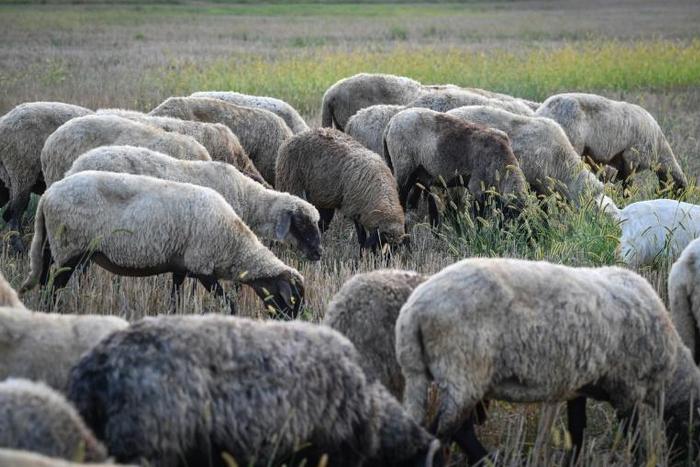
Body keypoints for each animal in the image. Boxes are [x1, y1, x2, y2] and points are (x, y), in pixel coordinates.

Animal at [21, 171, 304, 317]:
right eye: (292, 301)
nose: (289, 324)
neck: (236, 248)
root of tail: (47, 196)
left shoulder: (181, 266)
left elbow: (175, 298)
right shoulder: (203, 267)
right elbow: (229, 303)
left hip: (54, 246)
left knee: (45, 282)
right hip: (71, 248)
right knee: (53, 289)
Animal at [276, 128, 407, 251]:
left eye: (395, 249)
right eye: (382, 243)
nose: (385, 260)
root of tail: (294, 137)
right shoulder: (355, 209)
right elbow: (362, 238)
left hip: (321, 197)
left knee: (320, 223)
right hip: (291, 185)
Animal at [383, 107, 528, 227]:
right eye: (518, 219)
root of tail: (390, 124)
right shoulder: (477, 187)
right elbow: (479, 218)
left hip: (420, 173)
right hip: (404, 167)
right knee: (401, 197)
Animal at [396, 257, 700, 463]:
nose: (684, 460)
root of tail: (413, 312)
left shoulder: (579, 386)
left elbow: (577, 431)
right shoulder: (626, 389)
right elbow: (634, 439)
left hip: (443, 375)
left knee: (448, 431)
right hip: (464, 371)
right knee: (446, 432)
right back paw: (488, 460)